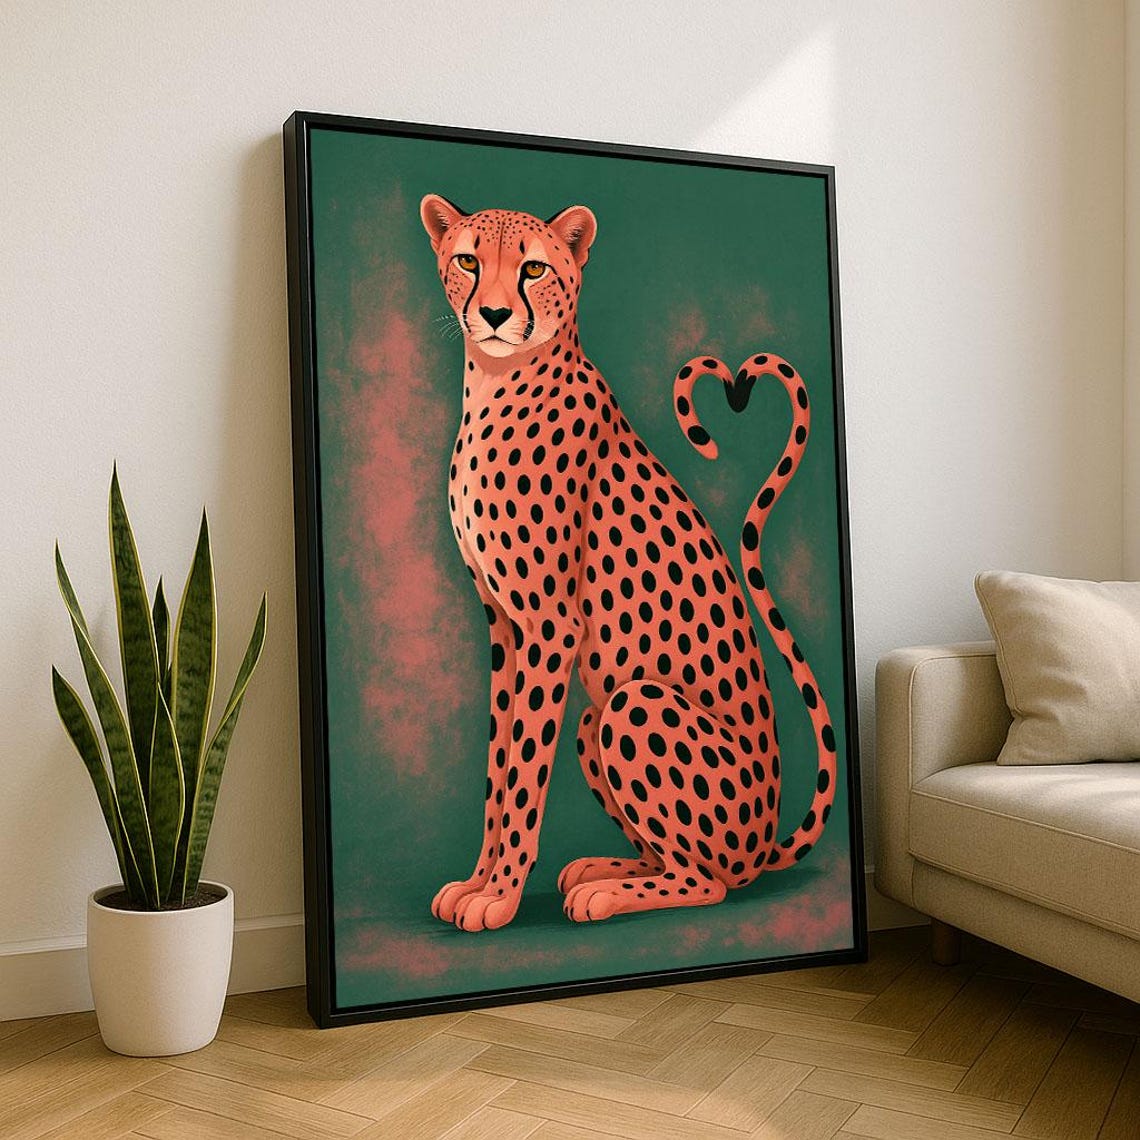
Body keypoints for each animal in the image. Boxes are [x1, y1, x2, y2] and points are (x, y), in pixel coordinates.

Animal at [420, 193, 838, 931]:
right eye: (468, 260)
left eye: (533, 269)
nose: (492, 314)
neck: (497, 382)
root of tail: (765, 841)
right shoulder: (503, 623)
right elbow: (499, 767)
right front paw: (477, 883)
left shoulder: (550, 627)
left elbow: (523, 773)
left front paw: (498, 897)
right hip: (597, 720)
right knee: (679, 858)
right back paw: (604, 868)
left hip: (633, 701)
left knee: (711, 882)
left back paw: (608, 894)